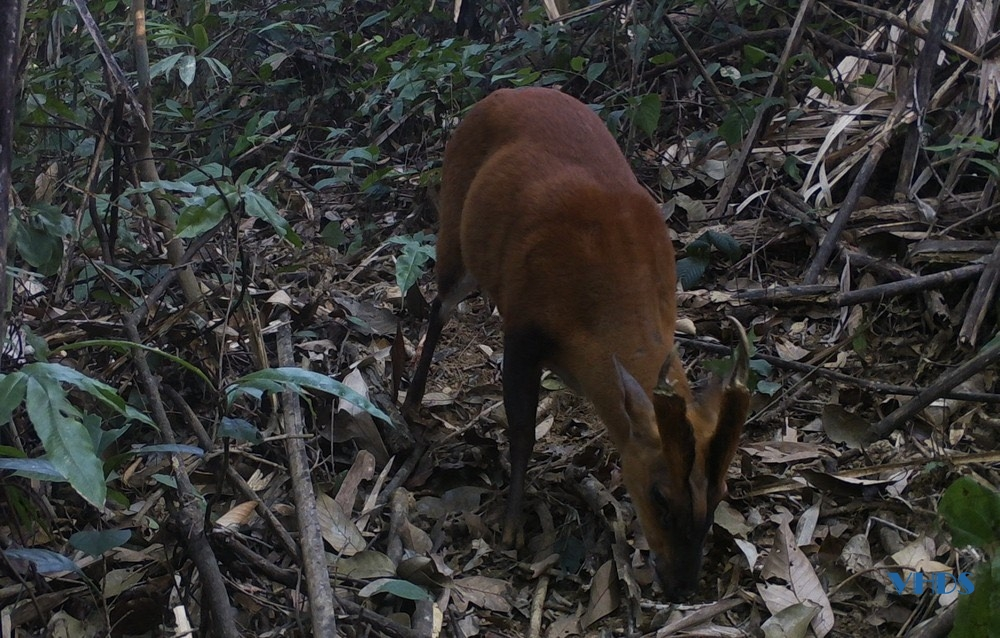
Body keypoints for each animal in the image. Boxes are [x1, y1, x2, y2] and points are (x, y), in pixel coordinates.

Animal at [400, 86, 752, 600]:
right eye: (659, 497)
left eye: (721, 493)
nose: (682, 587)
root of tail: (498, 94)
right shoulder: (522, 329)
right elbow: (522, 431)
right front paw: (511, 528)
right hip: (454, 230)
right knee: (437, 305)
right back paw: (411, 404)